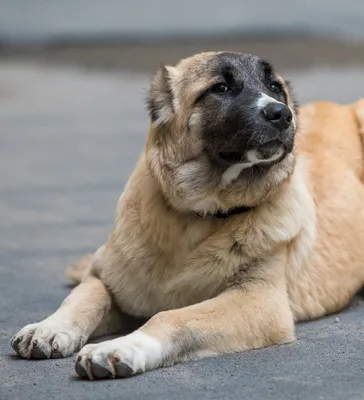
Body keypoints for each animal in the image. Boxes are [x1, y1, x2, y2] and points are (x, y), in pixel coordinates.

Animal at [9, 51, 364, 380]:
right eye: (220, 87)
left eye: (274, 87)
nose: (282, 114)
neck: (199, 216)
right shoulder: (106, 278)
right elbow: (82, 298)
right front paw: (48, 328)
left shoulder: (260, 301)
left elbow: (170, 317)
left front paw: (120, 347)